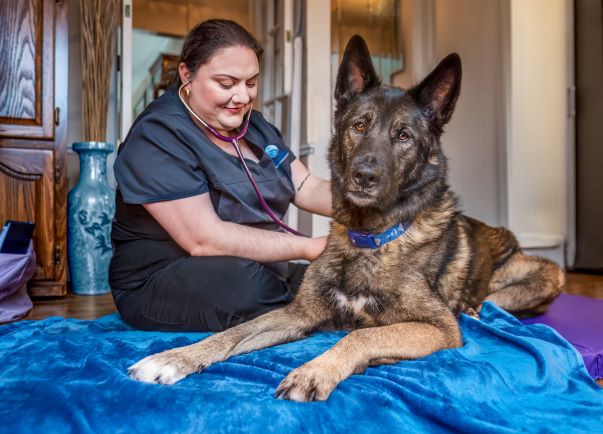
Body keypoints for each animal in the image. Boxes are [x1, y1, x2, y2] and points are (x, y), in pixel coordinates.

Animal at [129, 35, 568, 402]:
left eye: (404, 136)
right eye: (359, 126)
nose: (364, 176)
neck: (369, 237)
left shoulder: (439, 327)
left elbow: (358, 338)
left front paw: (314, 371)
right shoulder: (299, 314)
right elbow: (233, 332)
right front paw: (176, 356)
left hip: (544, 275)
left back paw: (478, 312)